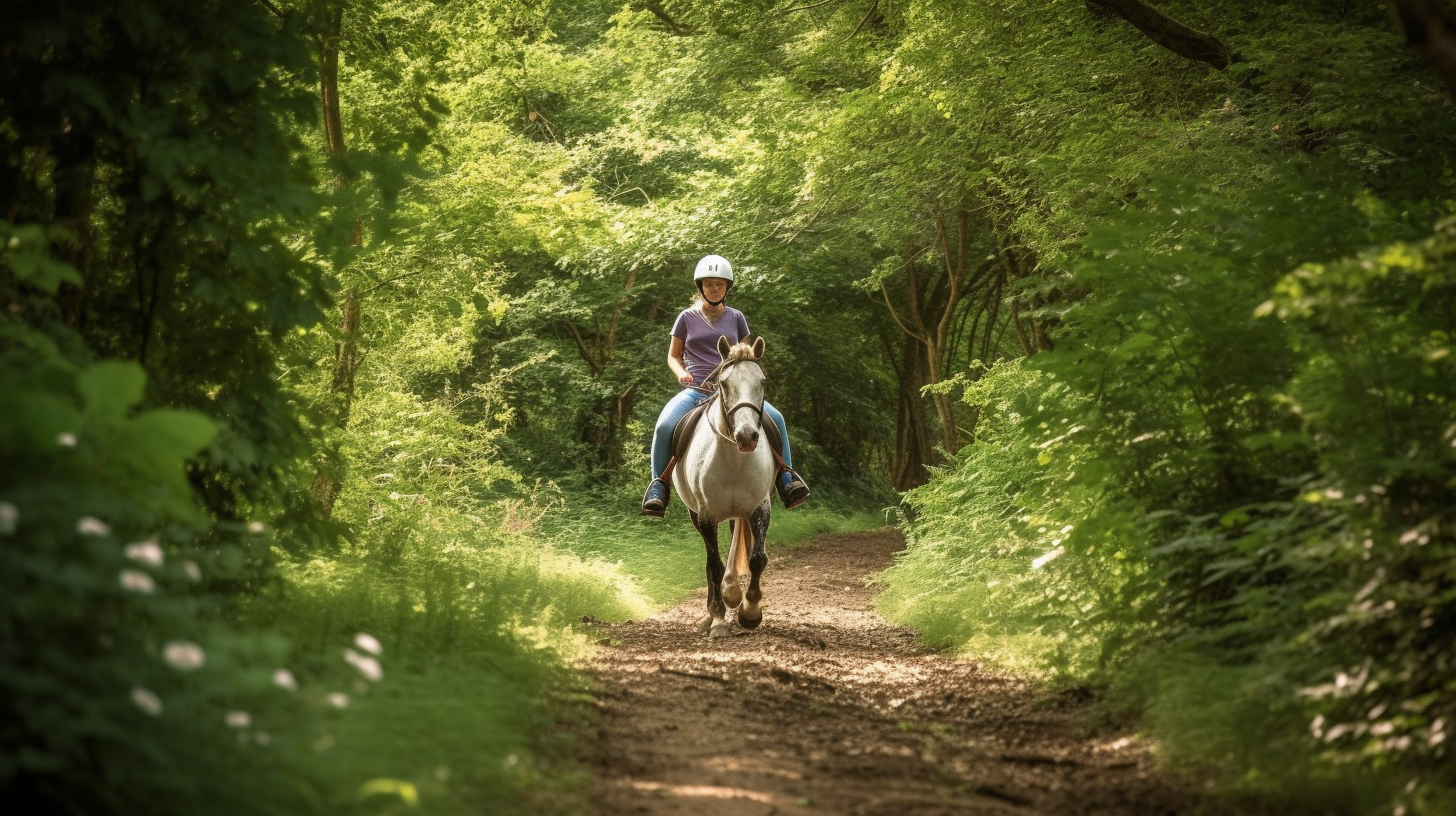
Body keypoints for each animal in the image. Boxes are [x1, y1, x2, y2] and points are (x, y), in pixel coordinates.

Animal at [672, 336, 780, 638]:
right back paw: (713, 612)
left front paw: (750, 612)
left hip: (739, 512)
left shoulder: (760, 508)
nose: (746, 436)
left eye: (762, 381)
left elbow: (757, 558)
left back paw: (733, 593)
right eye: (724, 383)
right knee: (713, 564)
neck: (733, 457)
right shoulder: (706, 516)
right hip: (695, 514)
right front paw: (718, 618)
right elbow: (714, 565)